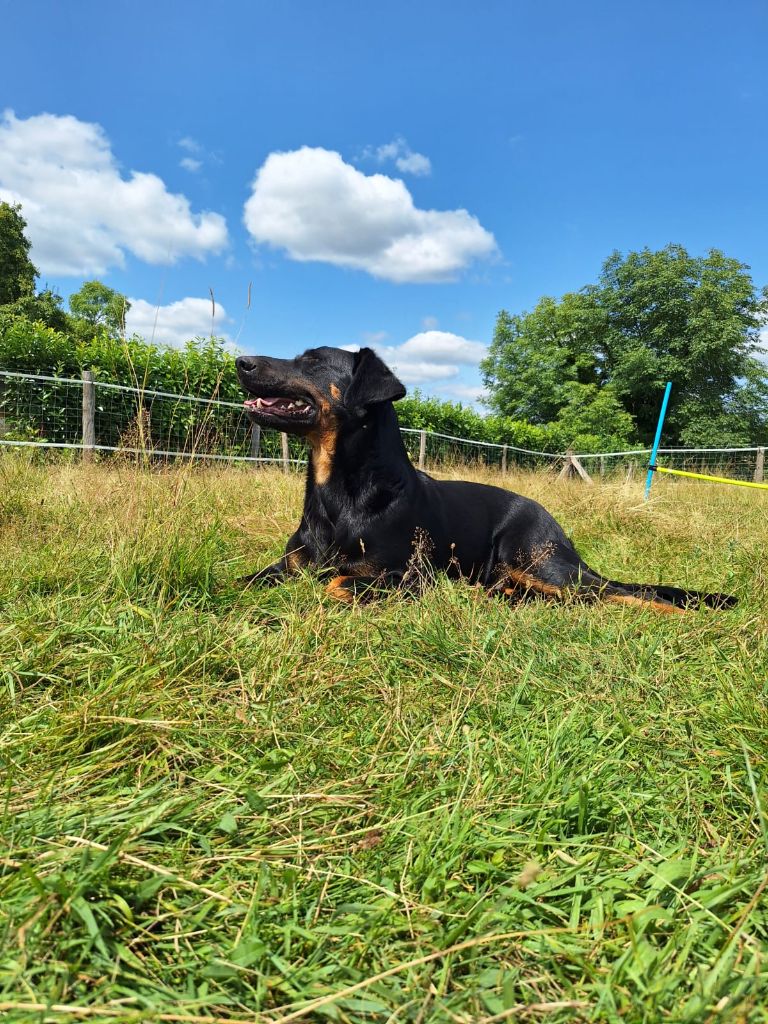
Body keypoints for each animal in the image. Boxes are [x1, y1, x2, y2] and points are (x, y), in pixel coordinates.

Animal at [236, 348, 741, 610]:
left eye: (313, 361)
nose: (241, 361)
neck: (342, 492)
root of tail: (557, 527)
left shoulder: (408, 577)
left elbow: (336, 584)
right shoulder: (287, 567)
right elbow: (247, 580)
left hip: (538, 562)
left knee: (615, 593)